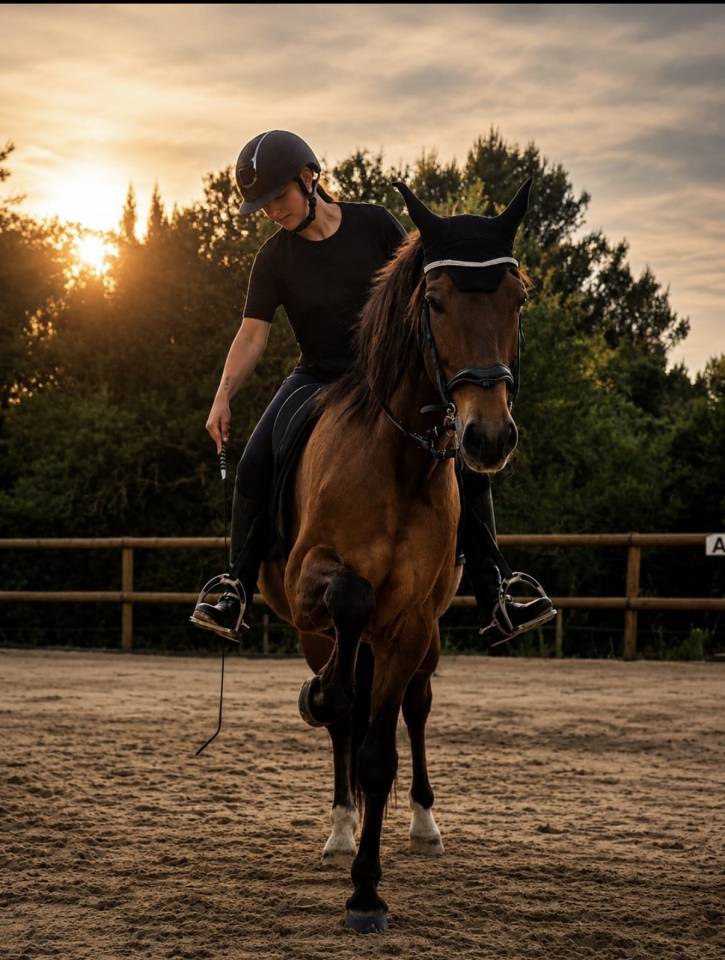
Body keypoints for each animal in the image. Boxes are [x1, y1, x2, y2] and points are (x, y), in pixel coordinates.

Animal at [258, 180, 530, 933]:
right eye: (433, 301)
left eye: (517, 298)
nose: (486, 437)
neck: (397, 460)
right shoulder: (310, 586)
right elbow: (345, 668)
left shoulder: (410, 623)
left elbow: (380, 752)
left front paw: (366, 892)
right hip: (313, 630)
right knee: (344, 710)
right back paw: (338, 823)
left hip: (427, 638)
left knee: (414, 705)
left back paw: (423, 825)